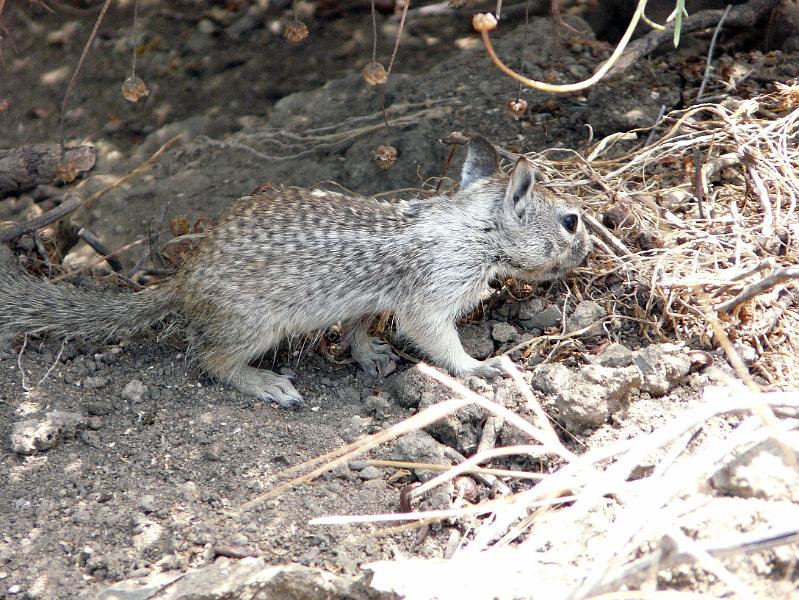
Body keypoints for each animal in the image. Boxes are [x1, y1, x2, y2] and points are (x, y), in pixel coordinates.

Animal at [0, 137, 588, 408]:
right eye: (571, 221)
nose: (587, 249)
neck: (472, 226)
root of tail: (183, 282)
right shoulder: (431, 291)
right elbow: (434, 338)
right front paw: (479, 366)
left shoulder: (373, 298)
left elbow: (362, 325)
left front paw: (368, 353)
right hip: (254, 326)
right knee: (210, 359)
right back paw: (266, 383)